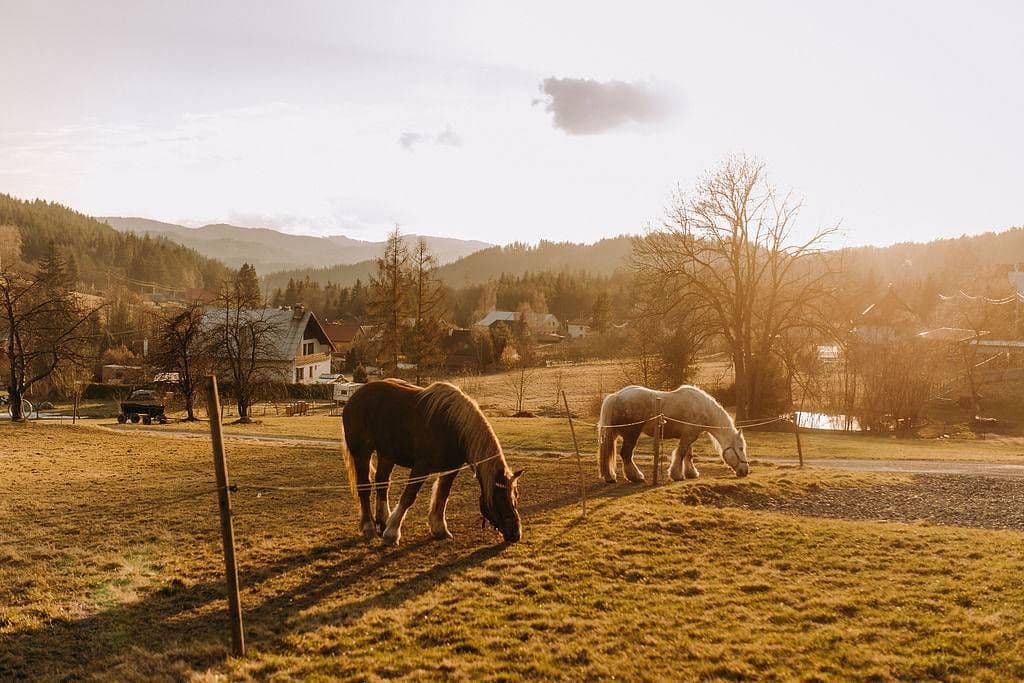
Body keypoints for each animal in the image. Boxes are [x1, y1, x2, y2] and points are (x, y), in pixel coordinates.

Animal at [341, 379, 523, 546]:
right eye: (501, 498)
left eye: (515, 496)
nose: (516, 533)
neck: (454, 427)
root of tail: (355, 397)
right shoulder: (421, 467)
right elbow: (408, 496)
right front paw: (392, 533)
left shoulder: (451, 469)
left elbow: (442, 495)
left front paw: (439, 528)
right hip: (362, 453)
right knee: (364, 487)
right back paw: (369, 527)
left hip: (387, 454)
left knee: (382, 483)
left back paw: (383, 520)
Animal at [597, 384, 749, 483]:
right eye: (741, 448)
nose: (745, 471)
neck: (702, 407)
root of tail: (615, 396)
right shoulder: (688, 436)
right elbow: (681, 453)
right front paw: (677, 475)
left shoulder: (688, 436)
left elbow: (688, 454)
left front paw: (691, 473)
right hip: (631, 435)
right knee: (626, 455)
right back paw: (636, 477)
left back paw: (610, 476)